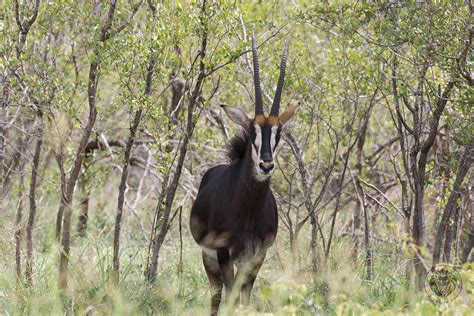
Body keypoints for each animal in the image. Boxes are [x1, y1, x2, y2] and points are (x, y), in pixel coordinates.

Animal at [189, 33, 296, 314]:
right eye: (252, 130)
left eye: (279, 132)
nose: (266, 165)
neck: (247, 211)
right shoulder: (224, 252)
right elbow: (231, 298)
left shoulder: (257, 256)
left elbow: (245, 300)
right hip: (209, 258)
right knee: (217, 296)